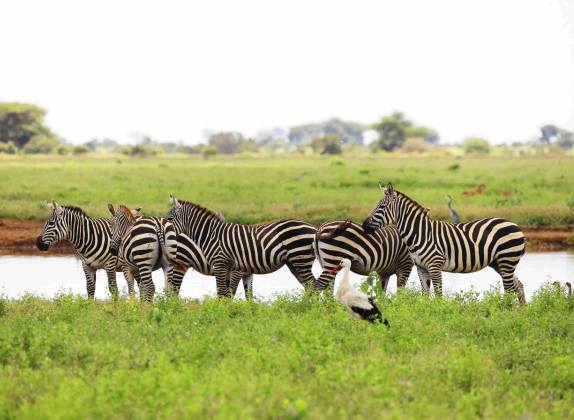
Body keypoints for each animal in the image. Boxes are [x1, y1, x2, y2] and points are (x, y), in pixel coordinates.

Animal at [165, 195, 320, 296]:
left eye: (169, 218)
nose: (164, 232)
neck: (211, 234)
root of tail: (314, 228)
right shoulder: (232, 268)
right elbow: (234, 294)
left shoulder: (222, 264)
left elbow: (225, 293)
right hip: (294, 263)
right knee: (310, 286)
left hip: (300, 260)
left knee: (313, 285)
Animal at [364, 182, 528, 304]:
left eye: (382, 207)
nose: (365, 226)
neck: (420, 233)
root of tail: (515, 225)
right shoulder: (421, 268)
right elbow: (425, 295)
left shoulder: (435, 265)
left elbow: (438, 295)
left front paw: (438, 314)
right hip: (499, 263)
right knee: (518, 285)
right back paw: (521, 313)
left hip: (507, 259)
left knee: (509, 290)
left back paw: (506, 313)